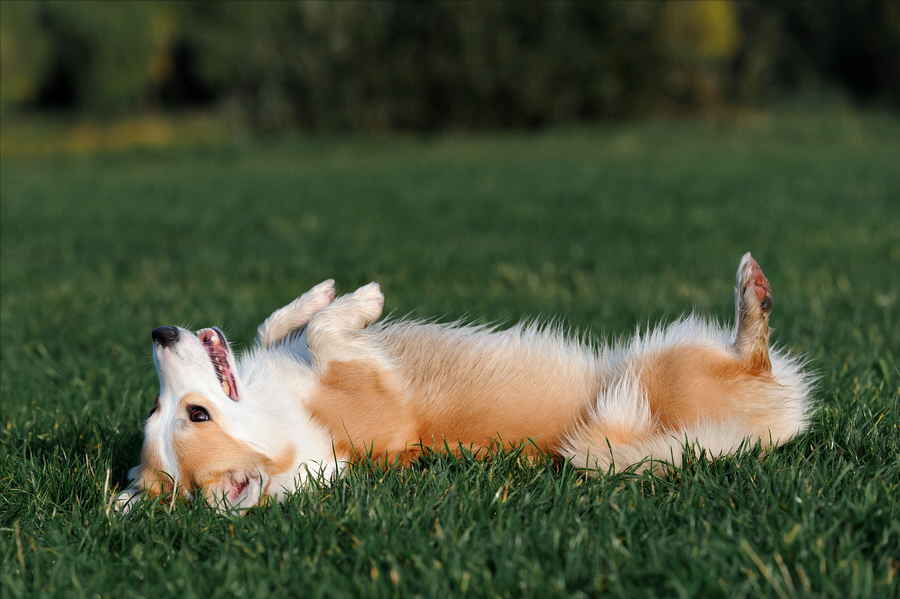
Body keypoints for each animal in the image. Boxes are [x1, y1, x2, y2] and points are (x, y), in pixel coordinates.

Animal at [118, 255, 816, 512]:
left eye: (171, 409)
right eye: (197, 414)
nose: (157, 331)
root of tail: (762, 433)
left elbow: (285, 324)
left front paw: (321, 292)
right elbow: (322, 333)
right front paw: (364, 299)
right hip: (673, 368)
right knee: (753, 353)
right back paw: (752, 293)